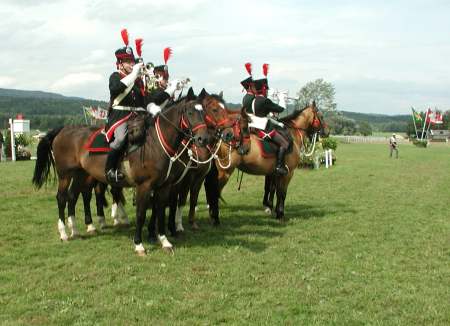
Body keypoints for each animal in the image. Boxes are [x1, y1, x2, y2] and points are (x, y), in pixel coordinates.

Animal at [32, 99, 212, 255]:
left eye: (204, 113)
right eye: (190, 112)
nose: (204, 139)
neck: (155, 144)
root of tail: (63, 130)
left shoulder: (164, 187)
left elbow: (160, 211)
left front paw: (164, 241)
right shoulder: (144, 186)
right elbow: (141, 214)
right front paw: (139, 245)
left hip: (80, 174)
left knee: (72, 196)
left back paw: (76, 230)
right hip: (65, 175)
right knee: (62, 198)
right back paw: (64, 233)